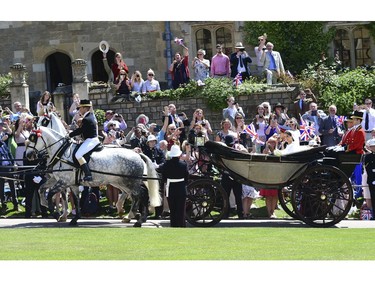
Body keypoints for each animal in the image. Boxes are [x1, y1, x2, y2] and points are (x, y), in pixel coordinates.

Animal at [25, 124, 162, 225]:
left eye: (32, 138)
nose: (28, 155)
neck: (62, 153)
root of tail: (137, 153)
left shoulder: (63, 182)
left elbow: (51, 195)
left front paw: (56, 214)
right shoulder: (66, 182)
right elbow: (45, 190)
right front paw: (74, 218)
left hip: (129, 182)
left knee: (142, 194)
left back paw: (139, 219)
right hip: (122, 182)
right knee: (135, 195)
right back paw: (132, 216)